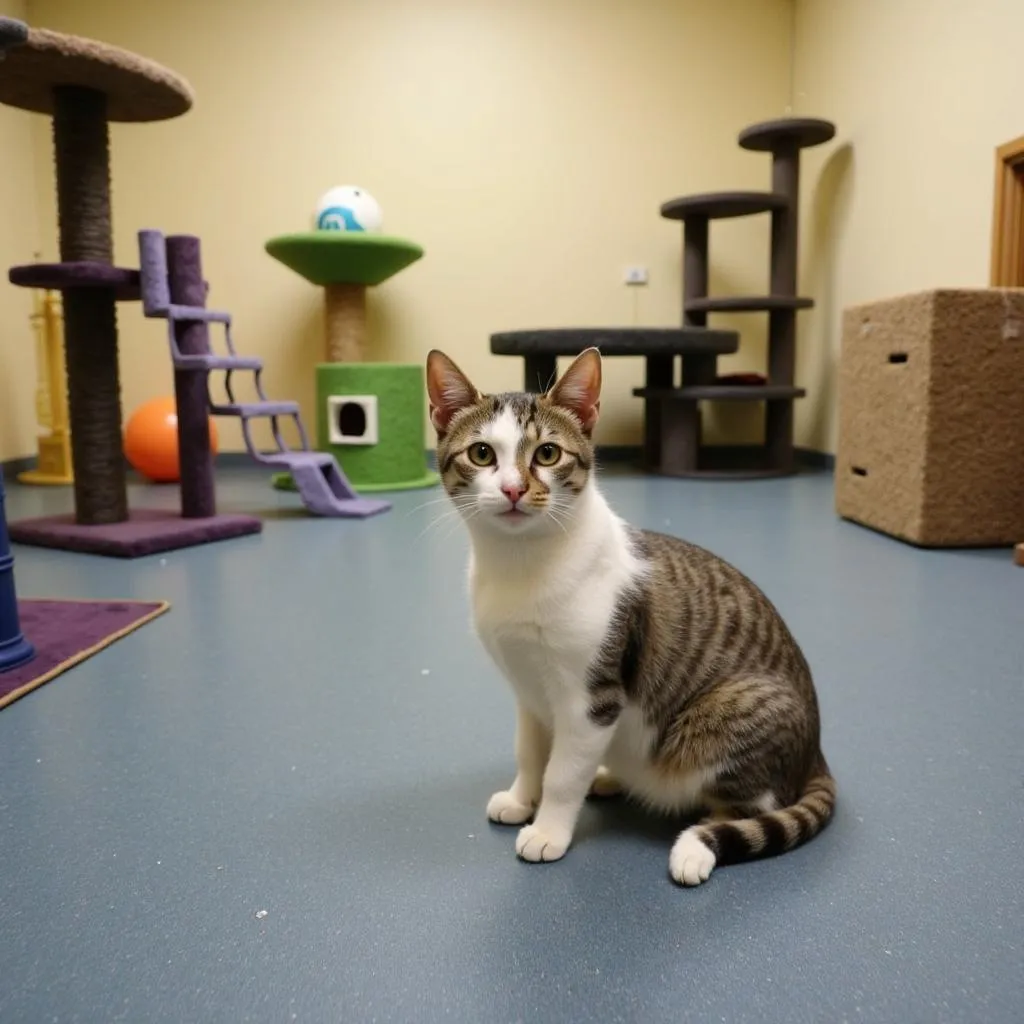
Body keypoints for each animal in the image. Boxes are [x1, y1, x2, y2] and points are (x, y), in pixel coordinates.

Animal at [423, 348, 831, 884]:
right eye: (482, 454)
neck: (521, 566)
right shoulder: (528, 690)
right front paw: (521, 798)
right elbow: (531, 753)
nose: (513, 489)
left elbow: (562, 774)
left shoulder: (592, 698)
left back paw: (698, 844)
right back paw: (611, 777)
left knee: (755, 807)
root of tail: (815, 753)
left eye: (547, 454)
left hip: (725, 716)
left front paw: (548, 829)